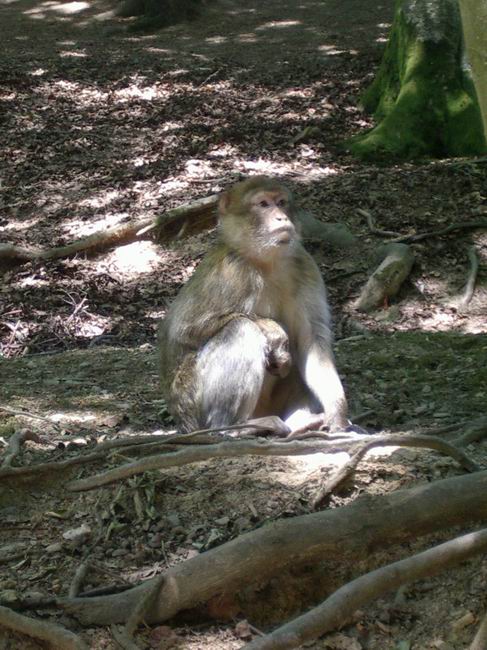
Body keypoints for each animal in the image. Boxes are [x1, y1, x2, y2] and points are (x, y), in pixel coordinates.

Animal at [157, 176, 349, 435]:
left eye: (281, 202)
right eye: (263, 204)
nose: (281, 217)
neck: (266, 261)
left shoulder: (305, 265)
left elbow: (311, 340)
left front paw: (337, 410)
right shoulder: (232, 272)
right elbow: (185, 330)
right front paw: (274, 331)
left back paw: (300, 421)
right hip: (192, 403)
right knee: (241, 328)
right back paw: (232, 427)